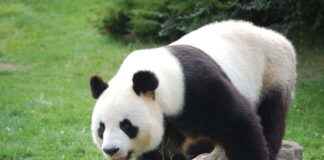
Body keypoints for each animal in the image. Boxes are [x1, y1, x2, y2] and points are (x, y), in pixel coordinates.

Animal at [88, 20, 296, 160]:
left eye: (126, 125)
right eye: (101, 128)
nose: (110, 149)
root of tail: (276, 35)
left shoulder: (199, 87)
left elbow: (240, 123)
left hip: (273, 71)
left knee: (270, 114)